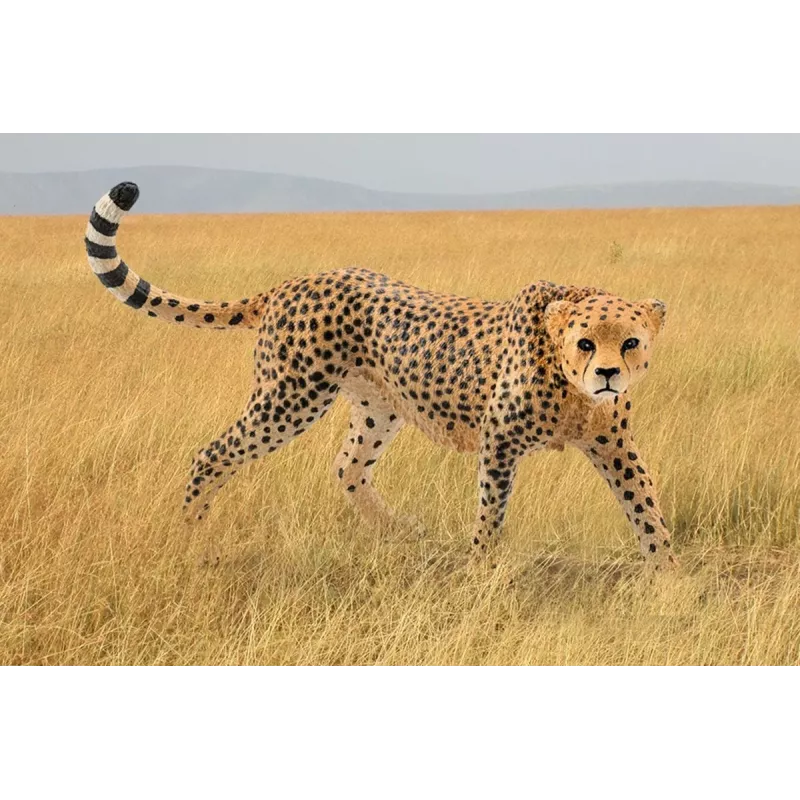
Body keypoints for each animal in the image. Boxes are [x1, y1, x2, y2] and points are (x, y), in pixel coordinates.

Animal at [84, 182, 677, 571]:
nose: (607, 374)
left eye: (630, 342)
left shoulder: (613, 443)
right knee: (213, 452)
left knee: (347, 466)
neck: (572, 387)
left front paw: (669, 576)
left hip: (377, 406)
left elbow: (645, 506)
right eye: (585, 342)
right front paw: (482, 570)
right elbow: (491, 511)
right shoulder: (500, 441)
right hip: (290, 397)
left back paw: (402, 532)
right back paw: (191, 533)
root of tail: (297, 280)